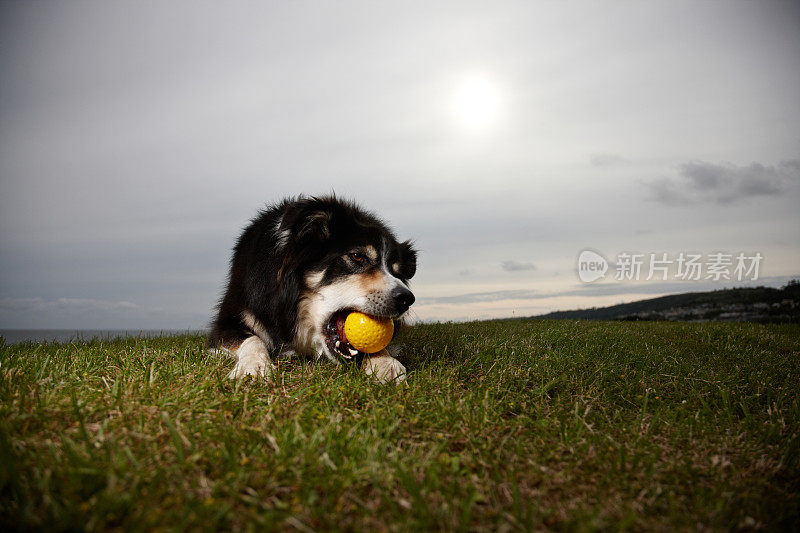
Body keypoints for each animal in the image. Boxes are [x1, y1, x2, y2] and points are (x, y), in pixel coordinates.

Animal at [206, 195, 418, 382]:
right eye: (358, 256)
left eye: (397, 272)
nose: (406, 299)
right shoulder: (227, 320)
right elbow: (252, 340)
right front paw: (255, 366)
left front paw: (385, 363)